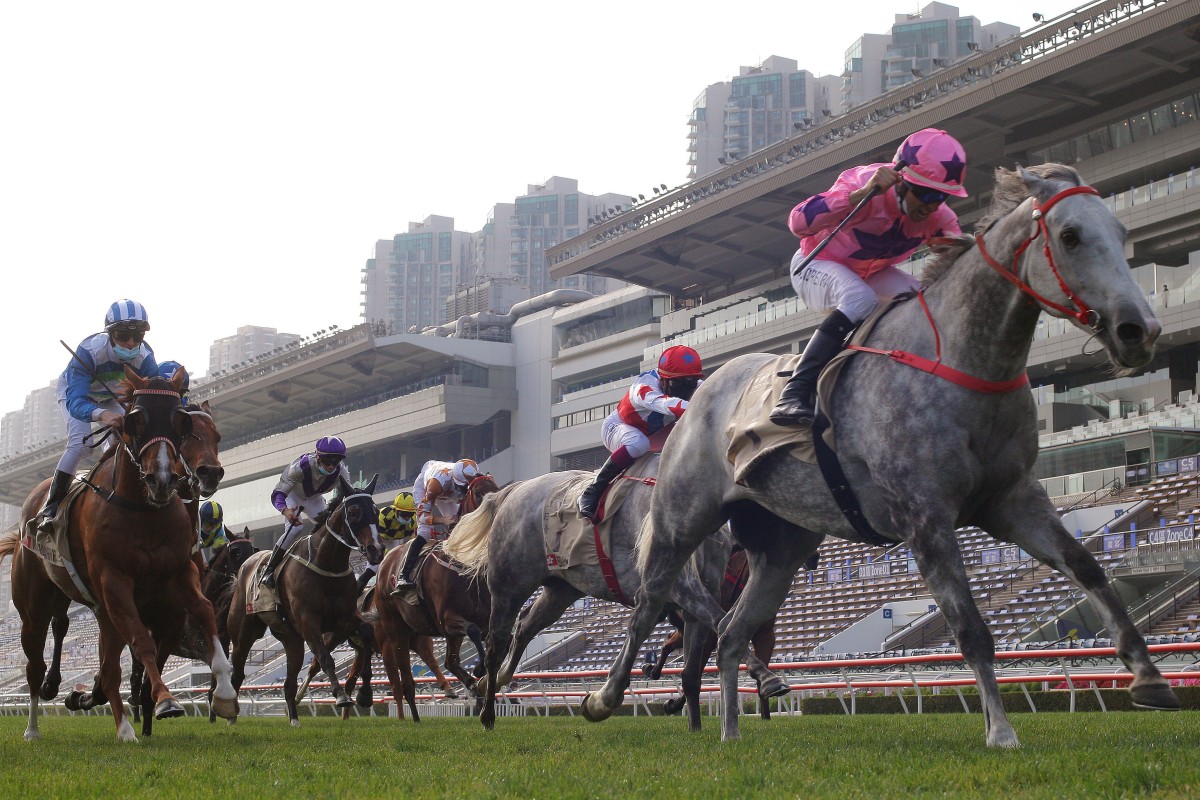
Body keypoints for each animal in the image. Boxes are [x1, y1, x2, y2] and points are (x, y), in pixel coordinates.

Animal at [0, 369, 238, 743]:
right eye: (135, 420)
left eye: (215, 435)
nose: (209, 473)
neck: (142, 509)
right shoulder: (114, 581)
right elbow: (141, 643)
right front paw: (166, 700)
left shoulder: (177, 579)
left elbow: (204, 612)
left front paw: (225, 695)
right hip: (33, 607)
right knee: (36, 663)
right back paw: (37, 726)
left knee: (95, 656)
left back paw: (118, 722)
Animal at [228, 474, 384, 724]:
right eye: (353, 512)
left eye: (376, 511)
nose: (376, 549)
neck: (326, 565)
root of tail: (247, 563)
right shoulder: (308, 621)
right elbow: (324, 657)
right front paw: (341, 695)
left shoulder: (345, 620)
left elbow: (367, 635)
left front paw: (365, 694)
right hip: (243, 632)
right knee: (237, 672)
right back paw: (228, 714)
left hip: (291, 639)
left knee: (289, 682)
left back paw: (294, 718)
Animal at [446, 462, 782, 734]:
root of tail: (512, 491)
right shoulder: (676, 584)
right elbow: (717, 622)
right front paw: (767, 677)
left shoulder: (696, 596)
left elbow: (693, 665)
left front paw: (695, 726)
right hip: (509, 586)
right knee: (495, 643)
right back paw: (487, 711)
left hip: (561, 590)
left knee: (525, 626)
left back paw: (490, 681)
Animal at [580, 165, 1180, 748]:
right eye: (1070, 235)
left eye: (1120, 231)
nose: (1139, 330)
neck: (960, 360)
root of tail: (702, 394)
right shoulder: (925, 517)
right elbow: (969, 626)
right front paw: (1002, 731)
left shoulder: (1011, 498)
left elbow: (1089, 568)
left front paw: (1149, 679)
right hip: (681, 519)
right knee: (649, 603)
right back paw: (604, 697)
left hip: (781, 547)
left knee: (730, 633)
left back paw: (730, 730)